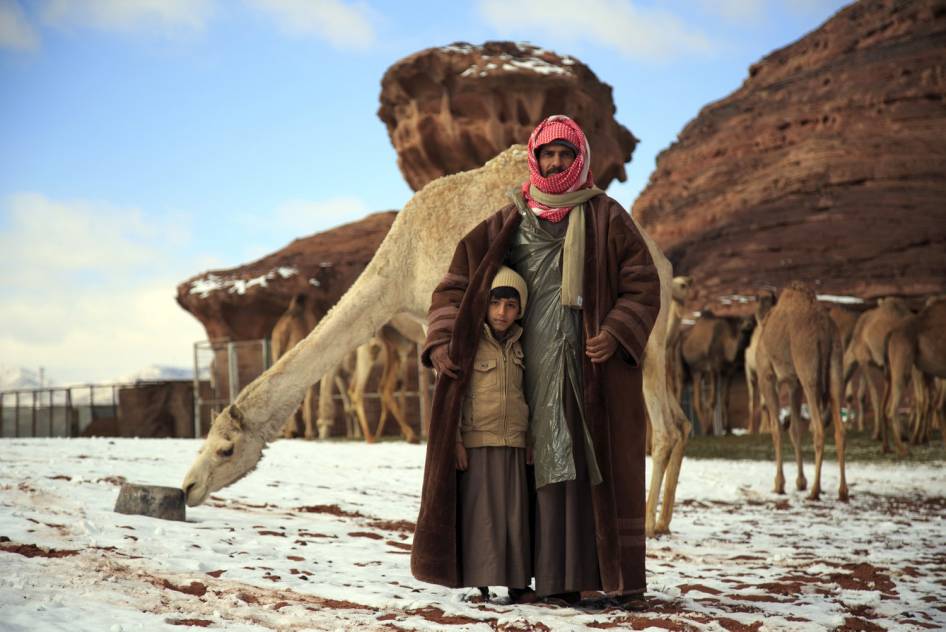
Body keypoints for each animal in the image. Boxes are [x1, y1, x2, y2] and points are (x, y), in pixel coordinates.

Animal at [181, 147, 688, 540]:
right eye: (206, 440)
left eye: (226, 448)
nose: (188, 487)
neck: (400, 268)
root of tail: (664, 270)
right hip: (656, 350)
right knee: (679, 424)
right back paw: (660, 522)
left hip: (636, 346)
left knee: (661, 428)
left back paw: (645, 526)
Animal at [752, 284, 848, 502]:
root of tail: (824, 330)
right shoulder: (793, 382)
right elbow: (795, 429)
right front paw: (800, 481)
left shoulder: (767, 375)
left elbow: (777, 428)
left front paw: (779, 484)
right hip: (836, 364)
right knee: (840, 428)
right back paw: (842, 491)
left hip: (807, 367)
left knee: (818, 428)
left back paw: (815, 491)